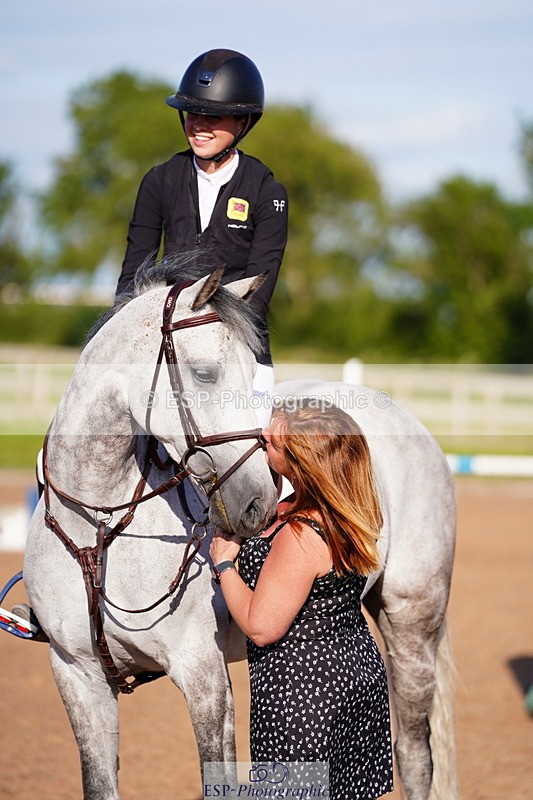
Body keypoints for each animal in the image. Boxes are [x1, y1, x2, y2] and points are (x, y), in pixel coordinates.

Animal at [22, 261, 278, 799]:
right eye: (204, 373)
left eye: (255, 374)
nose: (258, 504)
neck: (100, 525)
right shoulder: (77, 676)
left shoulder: (203, 675)